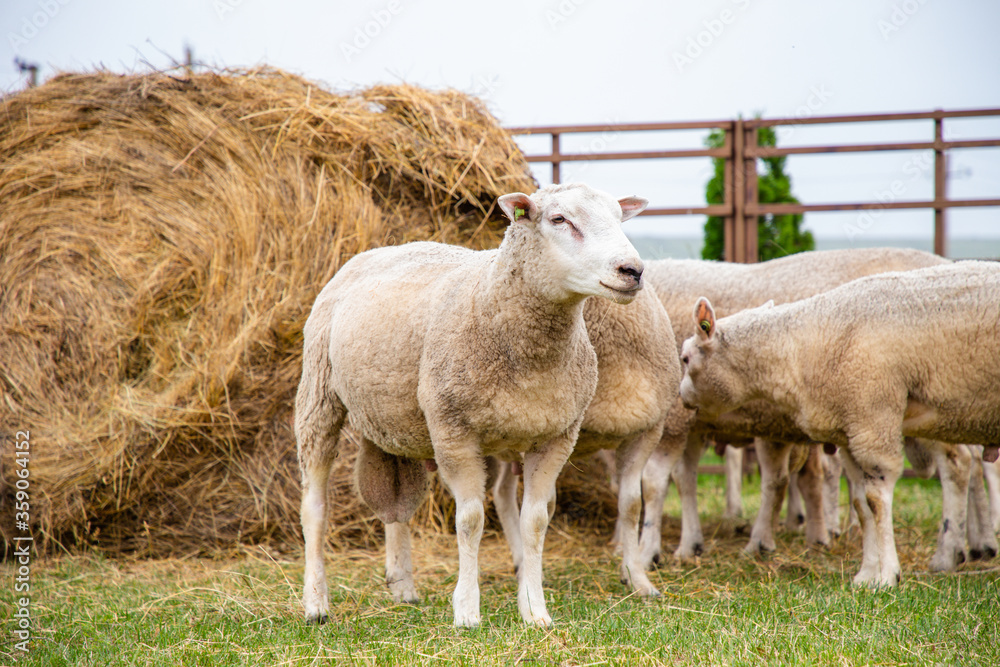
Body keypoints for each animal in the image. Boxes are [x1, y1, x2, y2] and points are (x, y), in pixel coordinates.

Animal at [295, 182, 649, 628]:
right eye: (559, 219)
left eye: (620, 219)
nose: (633, 271)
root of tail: (379, 250)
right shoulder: (454, 430)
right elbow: (470, 520)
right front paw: (466, 610)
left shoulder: (556, 437)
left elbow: (535, 522)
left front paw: (535, 610)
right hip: (318, 394)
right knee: (315, 506)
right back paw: (315, 602)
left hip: (394, 418)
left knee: (396, 506)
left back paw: (403, 585)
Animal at [638, 248, 950, 564]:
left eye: (686, 358)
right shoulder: (691, 423)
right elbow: (685, 480)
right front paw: (689, 545)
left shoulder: (671, 420)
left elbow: (653, 482)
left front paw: (647, 551)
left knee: (956, 469)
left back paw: (950, 551)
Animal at [678, 260, 1000, 586]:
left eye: (685, 358)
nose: (680, 396)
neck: (798, 347)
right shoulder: (850, 431)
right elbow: (861, 504)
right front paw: (866, 575)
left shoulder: (873, 418)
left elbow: (876, 500)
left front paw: (887, 576)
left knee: (957, 465)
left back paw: (950, 554)